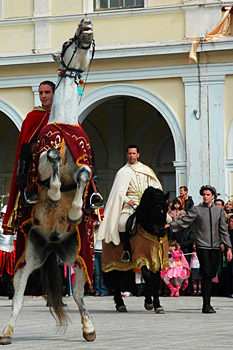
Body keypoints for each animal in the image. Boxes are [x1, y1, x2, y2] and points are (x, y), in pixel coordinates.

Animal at [0, 18, 96, 344]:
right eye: (68, 42)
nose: (86, 26)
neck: (64, 120)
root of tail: (53, 245)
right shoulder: (42, 160)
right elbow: (52, 157)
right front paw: (53, 195)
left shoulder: (84, 161)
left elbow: (84, 175)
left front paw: (77, 209)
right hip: (26, 258)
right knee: (17, 298)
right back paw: (7, 331)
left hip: (78, 258)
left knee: (79, 296)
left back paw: (89, 328)